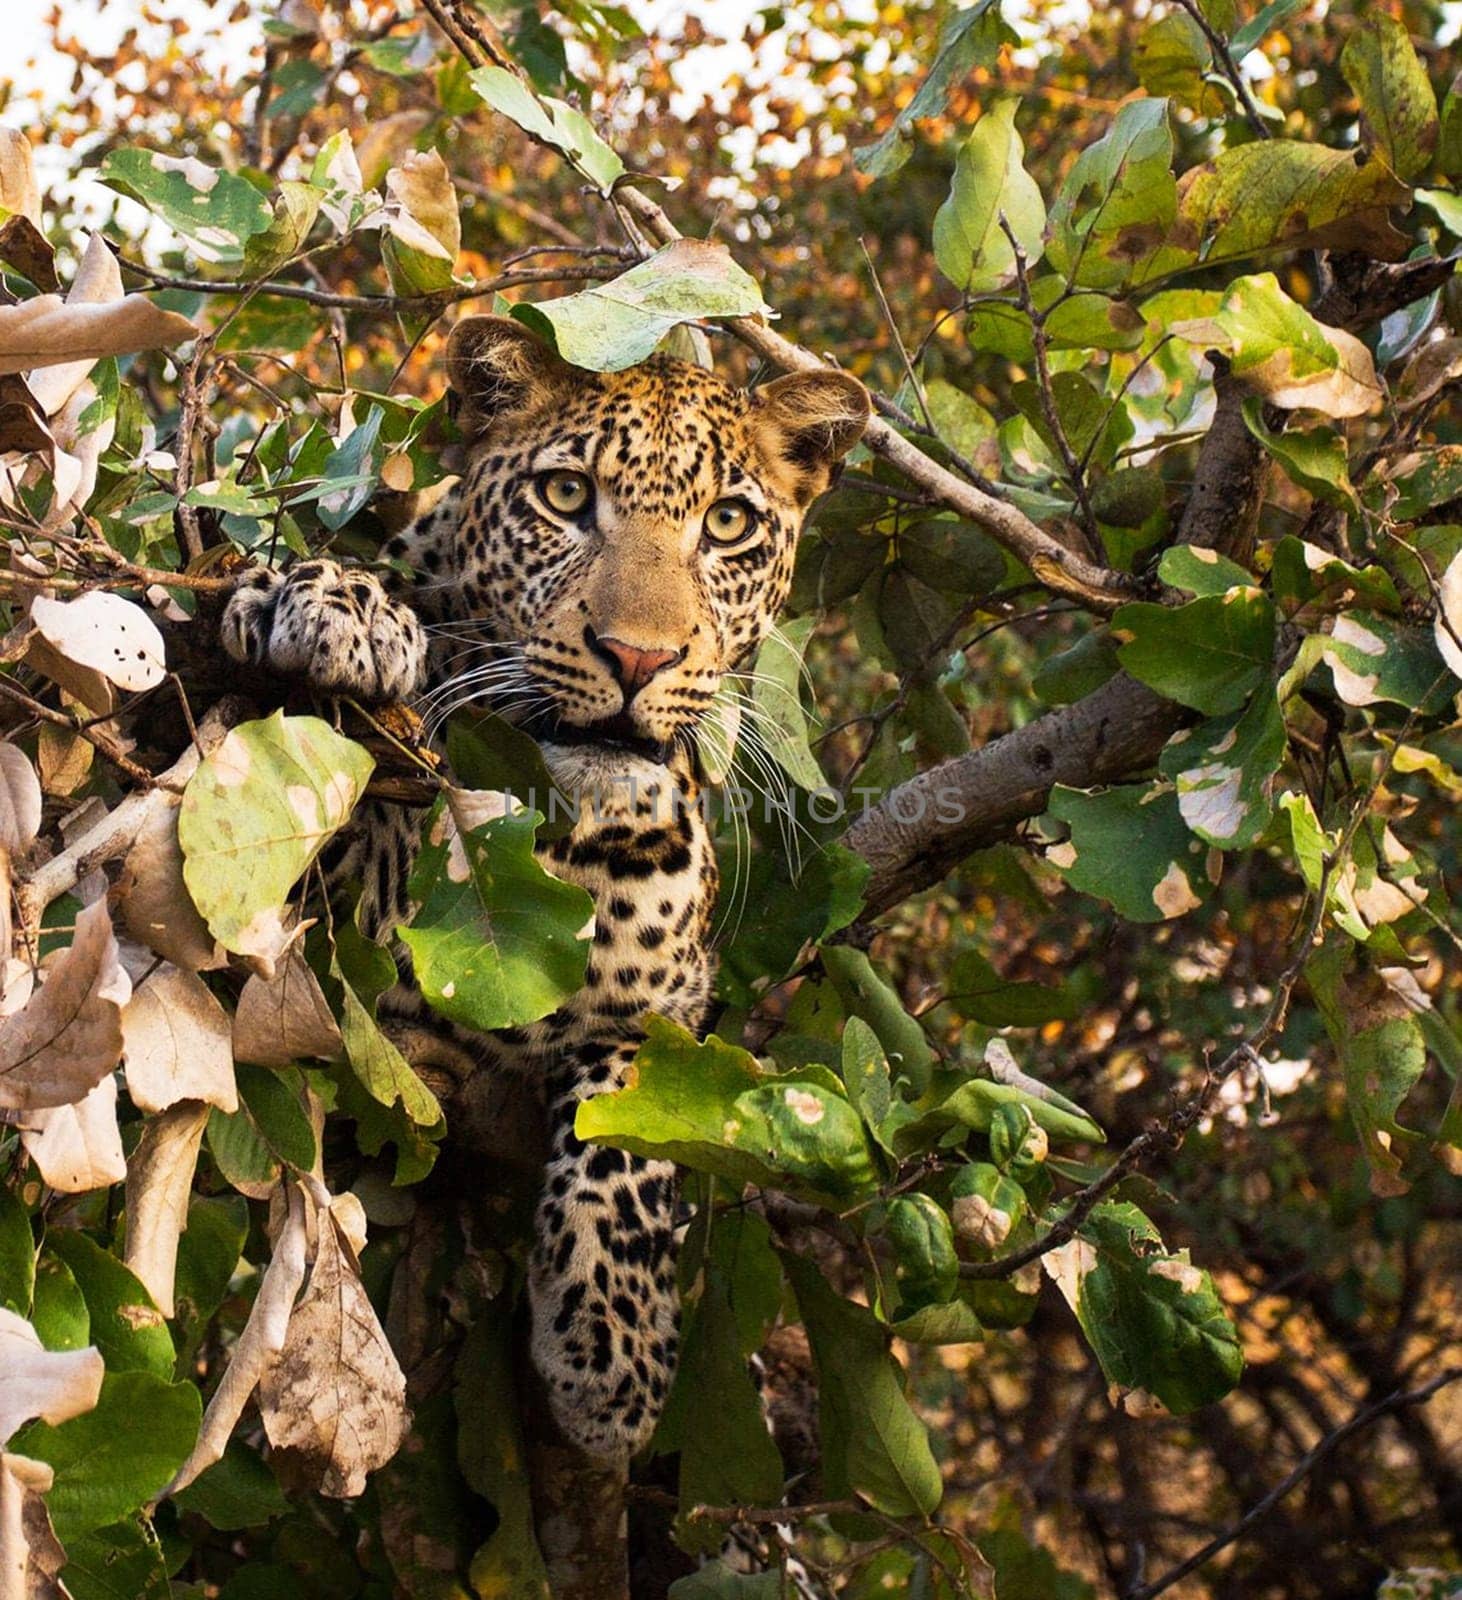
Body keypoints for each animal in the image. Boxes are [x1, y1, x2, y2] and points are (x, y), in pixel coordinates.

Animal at [222, 312, 863, 1465]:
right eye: (566, 497)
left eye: (730, 525)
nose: (637, 657)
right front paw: (334, 606)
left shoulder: (669, 1004)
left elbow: (628, 1123)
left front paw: (615, 1356)